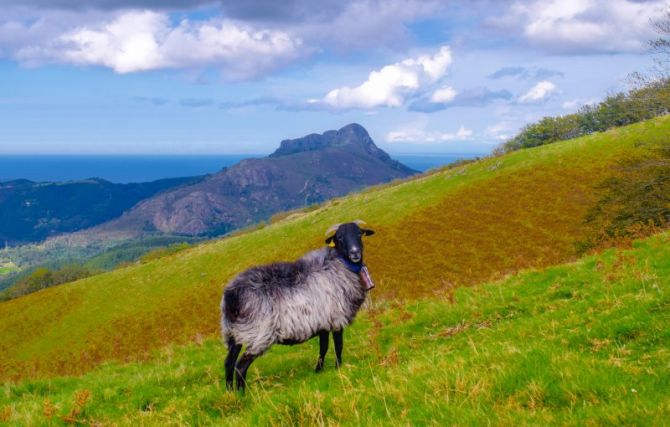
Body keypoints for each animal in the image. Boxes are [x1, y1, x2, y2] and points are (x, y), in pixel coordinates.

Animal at [222, 222, 376, 392]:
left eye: (359, 234)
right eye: (340, 238)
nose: (355, 253)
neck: (339, 265)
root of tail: (231, 295)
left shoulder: (323, 321)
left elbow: (323, 347)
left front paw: (318, 370)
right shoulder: (337, 319)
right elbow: (338, 345)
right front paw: (338, 367)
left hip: (234, 332)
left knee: (229, 363)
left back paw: (230, 392)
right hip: (259, 334)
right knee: (240, 366)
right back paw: (243, 393)